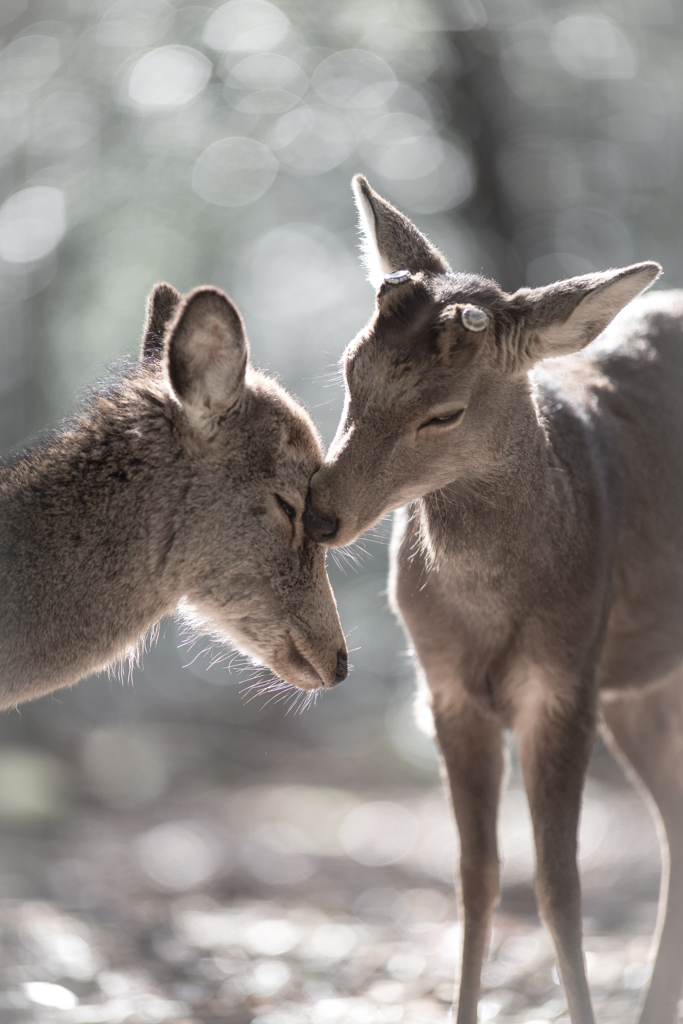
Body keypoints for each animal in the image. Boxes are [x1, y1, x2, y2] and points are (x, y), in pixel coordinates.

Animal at [305, 172, 683, 1019]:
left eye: (444, 412)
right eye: (349, 369)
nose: (318, 512)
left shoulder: (564, 680)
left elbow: (558, 887)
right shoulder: (444, 688)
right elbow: (474, 878)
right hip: (639, 688)